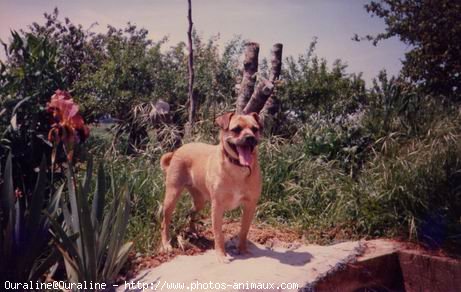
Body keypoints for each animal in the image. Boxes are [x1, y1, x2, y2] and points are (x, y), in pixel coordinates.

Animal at [159, 112, 260, 262]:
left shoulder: (250, 205)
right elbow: (218, 233)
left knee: (190, 213)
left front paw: (242, 249)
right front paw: (221, 255)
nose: (250, 138)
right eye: (236, 129)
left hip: (200, 201)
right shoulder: (217, 206)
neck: (237, 168)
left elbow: (244, 230)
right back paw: (166, 244)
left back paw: (193, 232)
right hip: (171, 197)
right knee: (165, 222)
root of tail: (177, 150)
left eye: (255, 129)